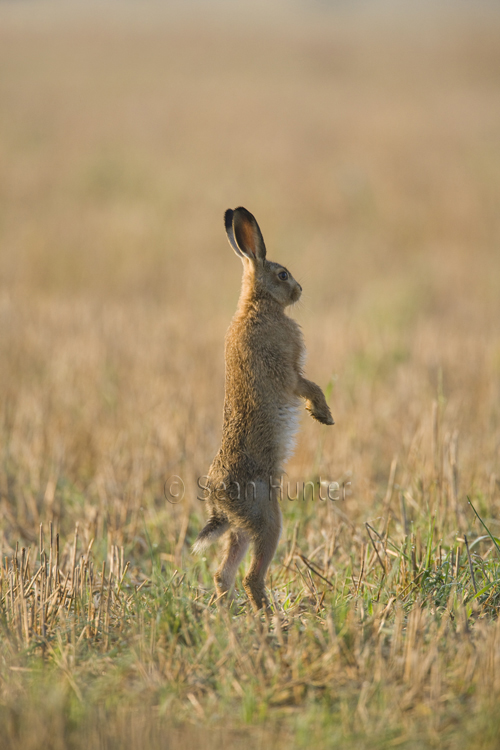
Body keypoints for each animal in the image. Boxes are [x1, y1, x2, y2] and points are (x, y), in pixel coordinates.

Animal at [193, 207, 334, 611]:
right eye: (282, 274)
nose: (299, 289)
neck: (257, 304)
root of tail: (219, 504)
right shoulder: (289, 373)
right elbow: (310, 387)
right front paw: (323, 415)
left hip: (242, 528)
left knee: (222, 575)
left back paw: (228, 616)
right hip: (268, 519)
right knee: (252, 576)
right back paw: (272, 618)